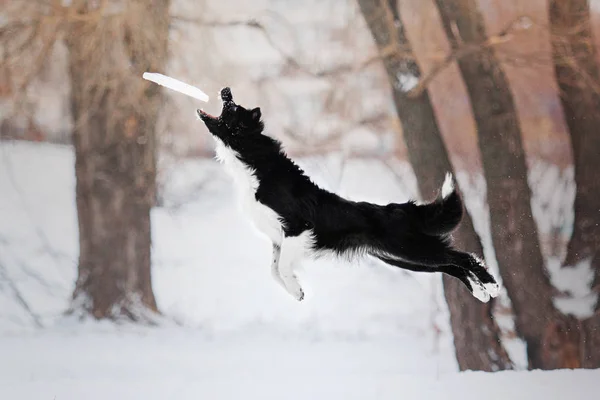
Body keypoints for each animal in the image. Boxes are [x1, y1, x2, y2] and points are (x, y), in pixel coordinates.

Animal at [199, 88, 500, 304]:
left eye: (233, 108)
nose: (225, 89)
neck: (254, 160)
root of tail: (400, 209)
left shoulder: (298, 228)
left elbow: (281, 267)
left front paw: (296, 289)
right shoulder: (278, 239)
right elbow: (273, 270)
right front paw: (296, 291)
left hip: (410, 247)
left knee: (463, 257)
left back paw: (493, 286)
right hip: (400, 257)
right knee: (452, 265)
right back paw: (481, 292)